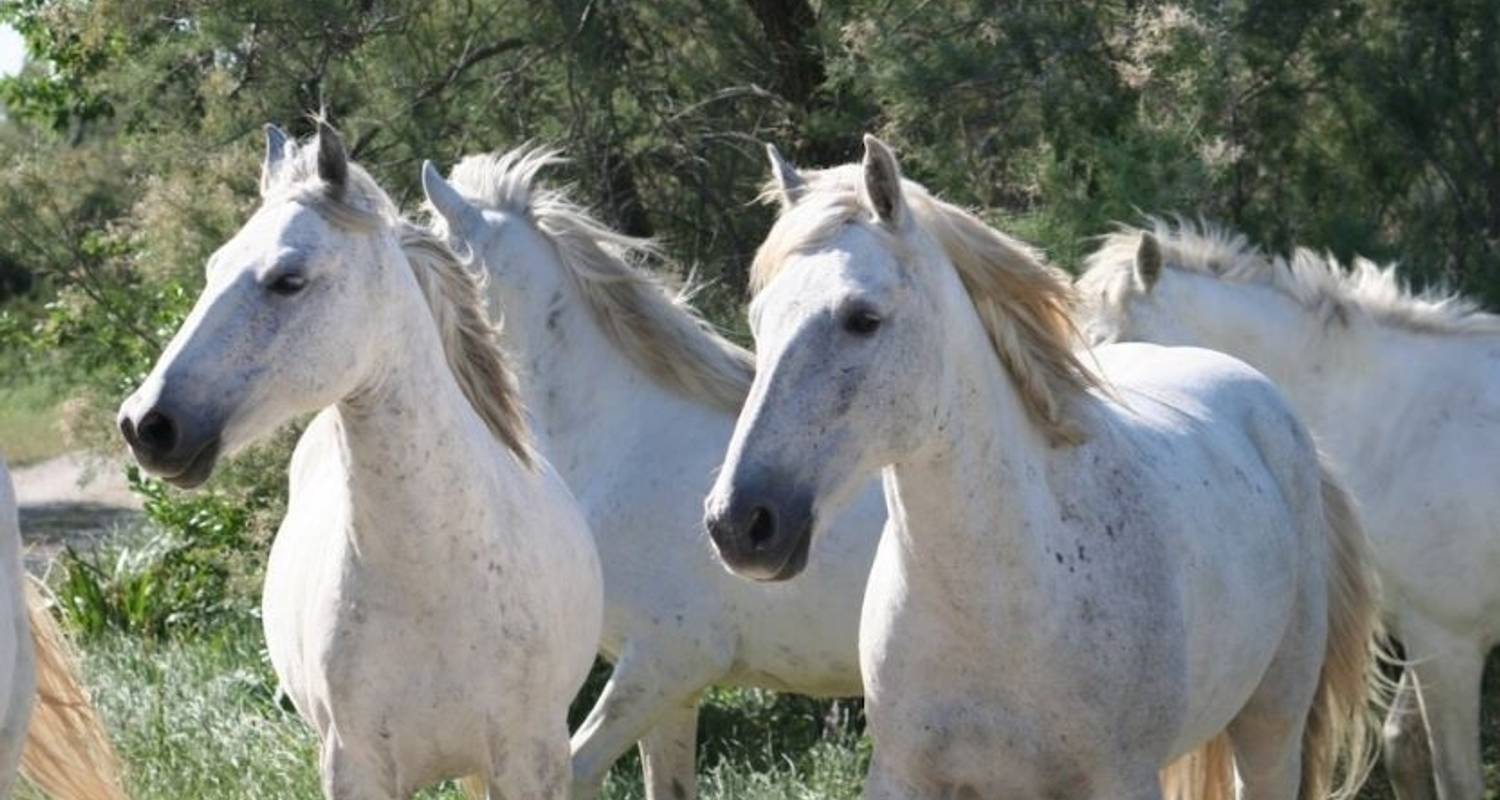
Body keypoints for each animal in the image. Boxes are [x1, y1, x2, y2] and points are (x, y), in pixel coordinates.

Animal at [115, 121, 603, 792]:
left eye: (288, 279)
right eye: (213, 268)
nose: (146, 424)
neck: (438, 585)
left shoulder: (533, 761)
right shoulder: (355, 768)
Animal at [702, 137, 1380, 798]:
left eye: (862, 319)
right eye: (759, 321)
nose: (739, 523)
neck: (1006, 600)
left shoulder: (1123, 779)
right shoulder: (904, 776)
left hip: (1272, 729)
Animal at [1086, 220, 1500, 798]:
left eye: (1103, 340)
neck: (1406, 423)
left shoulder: (1451, 643)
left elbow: (1456, 777)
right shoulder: (1426, 639)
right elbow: (1403, 748)